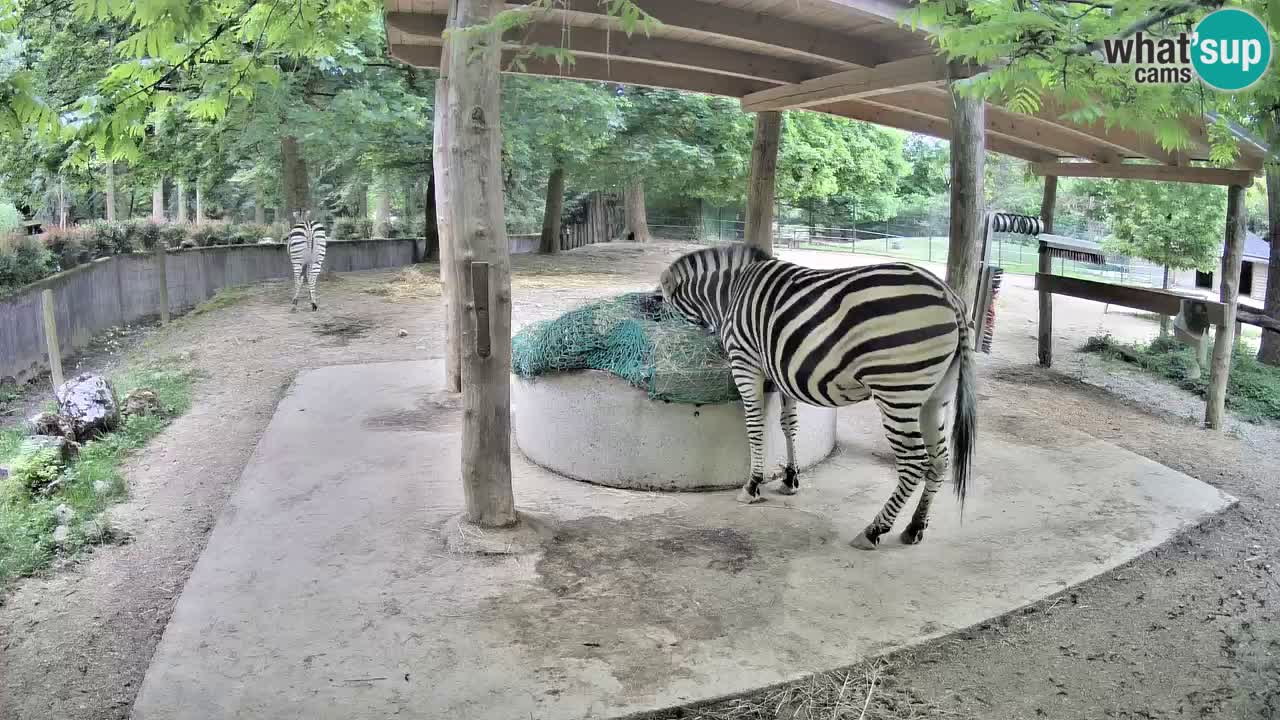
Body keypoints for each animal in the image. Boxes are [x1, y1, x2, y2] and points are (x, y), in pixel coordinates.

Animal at [658, 245, 977, 550]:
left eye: (662, 306)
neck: (729, 292)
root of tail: (949, 296)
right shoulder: (780, 370)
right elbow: (788, 424)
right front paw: (790, 478)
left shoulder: (744, 361)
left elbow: (755, 427)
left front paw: (752, 485)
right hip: (935, 396)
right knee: (940, 459)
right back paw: (915, 527)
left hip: (897, 391)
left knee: (914, 462)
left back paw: (873, 530)